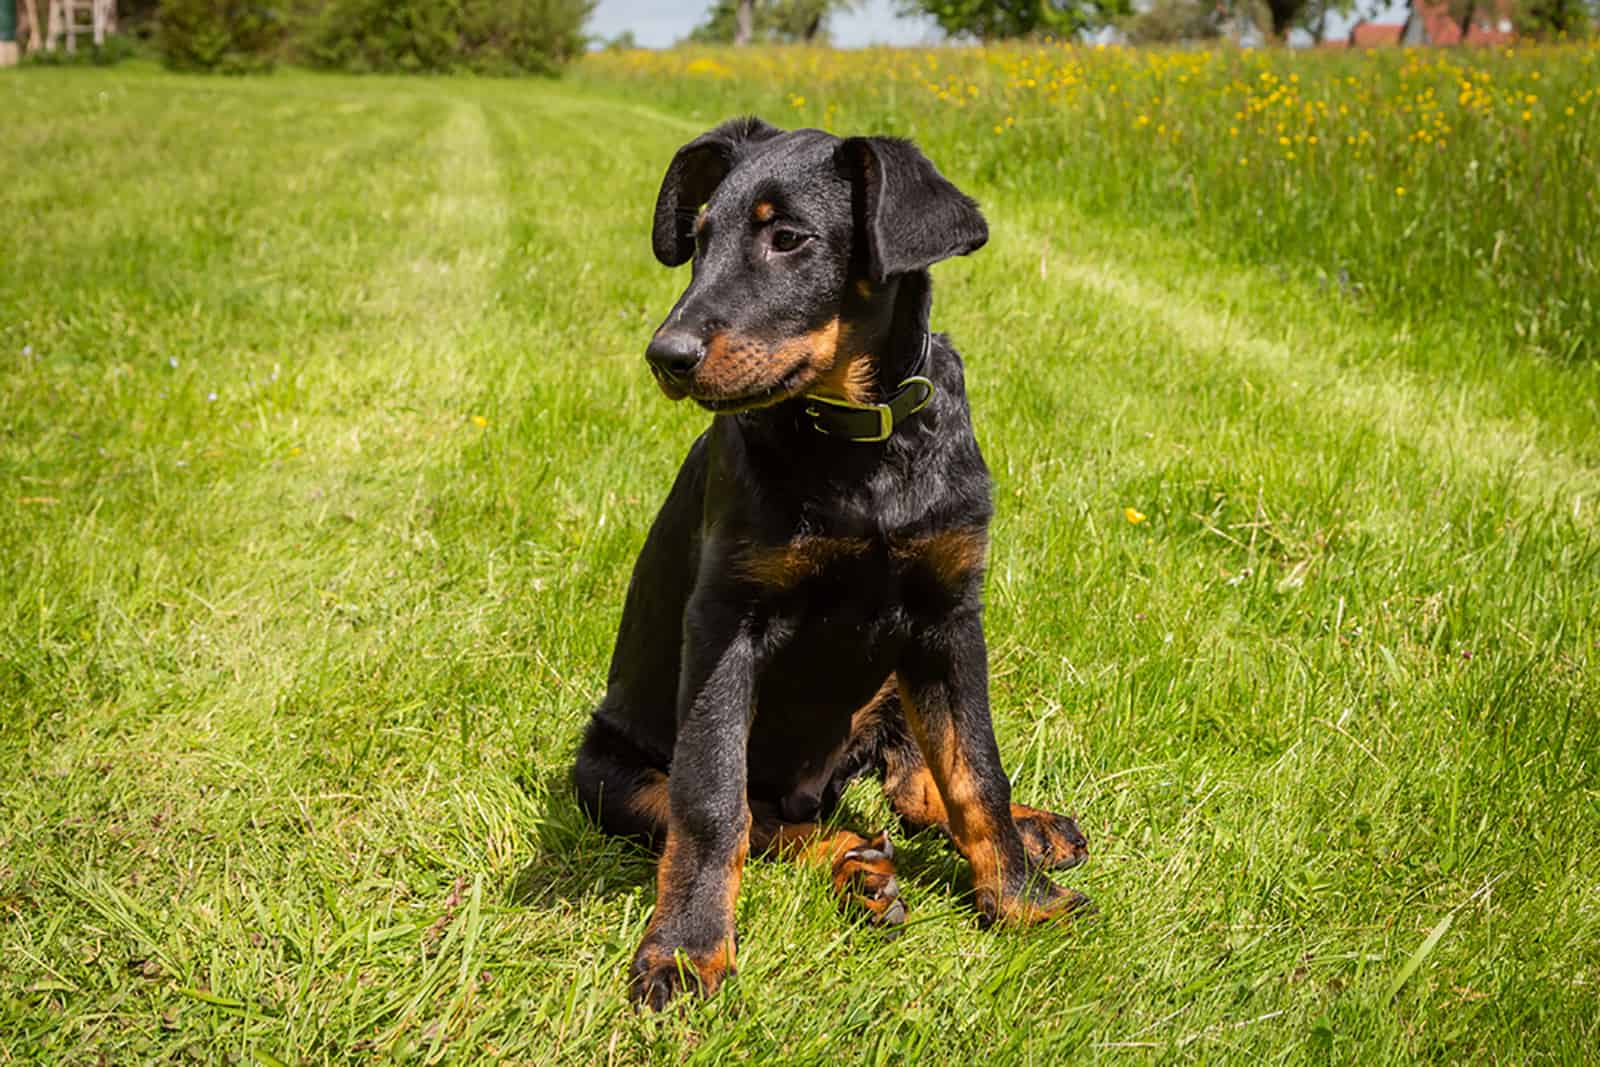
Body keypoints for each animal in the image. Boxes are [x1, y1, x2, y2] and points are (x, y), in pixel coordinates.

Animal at [576, 116, 1088, 1011]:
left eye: (789, 238)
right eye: (698, 239)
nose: (664, 355)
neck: (861, 443)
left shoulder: (949, 614)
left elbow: (975, 769)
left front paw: (1022, 900)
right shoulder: (725, 622)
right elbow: (712, 802)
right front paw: (687, 951)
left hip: (891, 680)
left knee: (914, 786)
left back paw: (1027, 830)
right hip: (605, 773)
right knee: (770, 818)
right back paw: (856, 865)